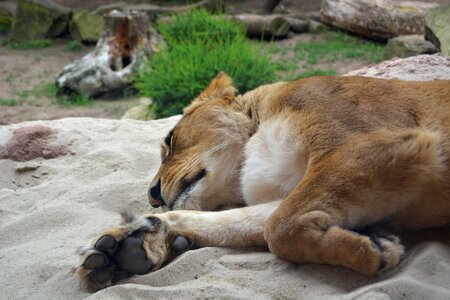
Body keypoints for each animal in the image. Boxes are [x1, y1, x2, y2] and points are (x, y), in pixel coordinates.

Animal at [77, 72, 450, 290]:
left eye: (170, 140)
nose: (152, 195)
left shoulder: (376, 142)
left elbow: (279, 230)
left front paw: (372, 250)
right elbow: (235, 222)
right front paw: (127, 247)